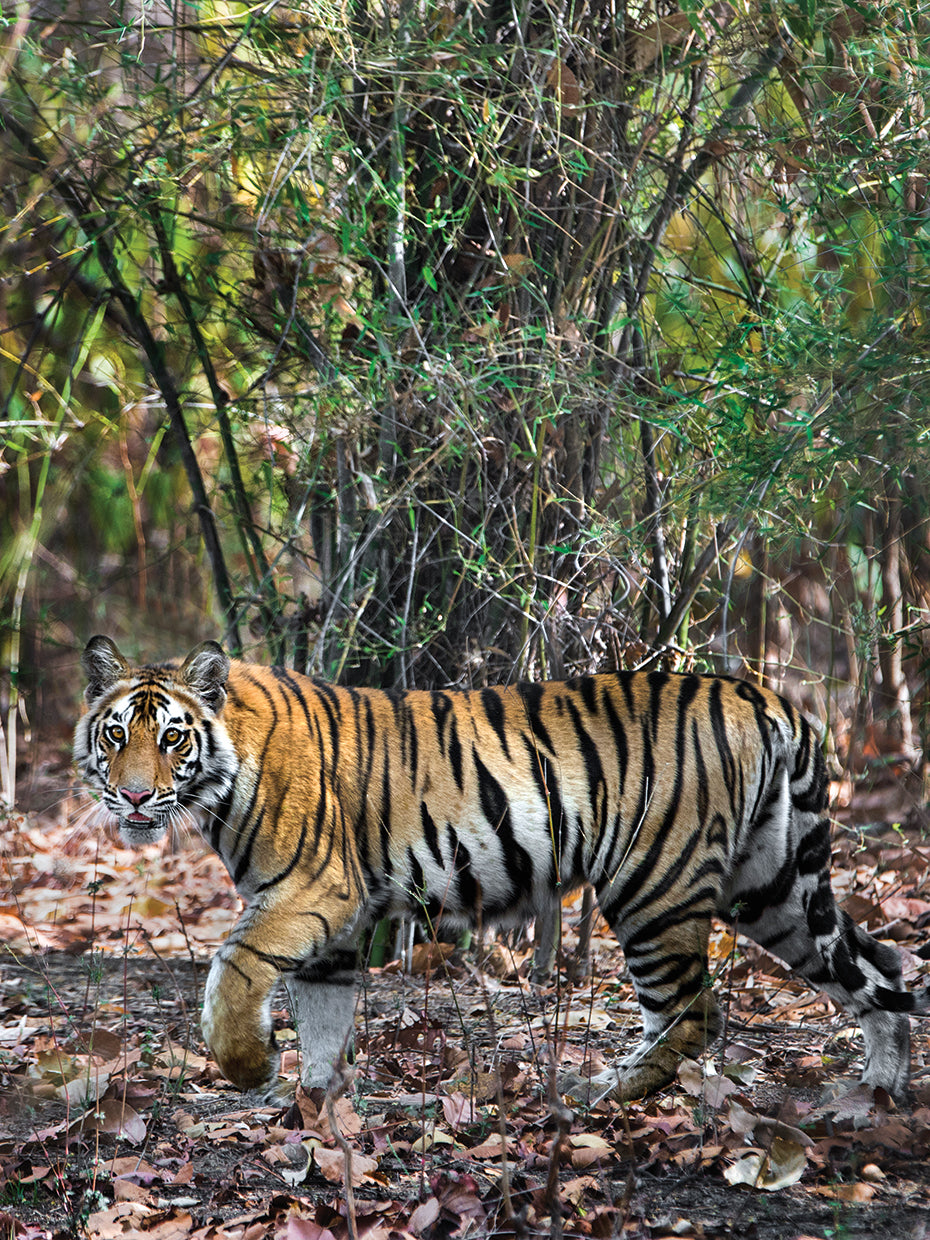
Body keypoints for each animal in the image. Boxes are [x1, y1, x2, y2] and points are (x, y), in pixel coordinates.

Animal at [73, 634, 929, 1102]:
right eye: (116, 735)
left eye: (172, 738)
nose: (134, 795)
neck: (222, 781)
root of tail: (763, 696)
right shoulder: (338, 925)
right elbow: (325, 1018)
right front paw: (317, 1106)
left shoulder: (314, 890)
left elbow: (233, 969)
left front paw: (251, 1067)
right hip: (774, 888)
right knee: (878, 966)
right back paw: (874, 1091)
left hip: (653, 885)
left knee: (693, 1014)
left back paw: (602, 1095)